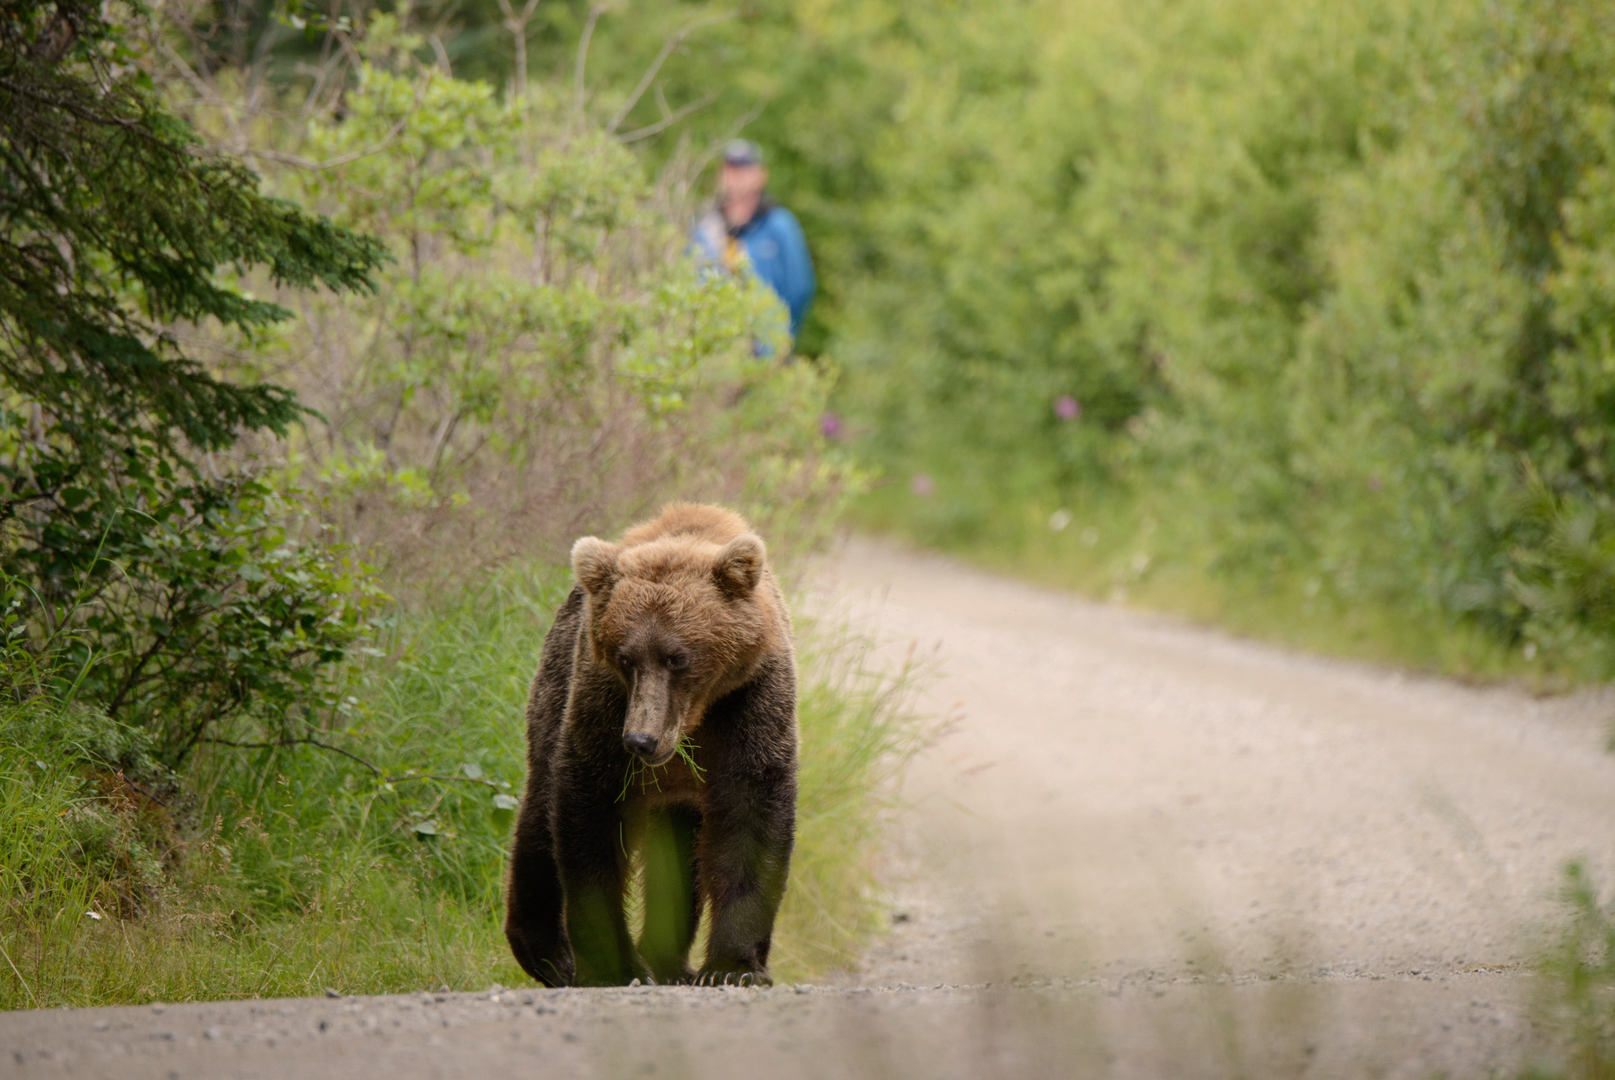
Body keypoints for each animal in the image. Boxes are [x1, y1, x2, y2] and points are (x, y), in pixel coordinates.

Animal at [504, 503, 798, 987]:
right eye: (626, 657)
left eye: (678, 657)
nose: (641, 740)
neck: (694, 721)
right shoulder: (602, 705)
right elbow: (591, 816)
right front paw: (616, 966)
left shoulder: (749, 703)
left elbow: (751, 816)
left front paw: (732, 967)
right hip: (553, 689)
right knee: (540, 814)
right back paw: (551, 955)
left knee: (678, 854)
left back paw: (669, 963)